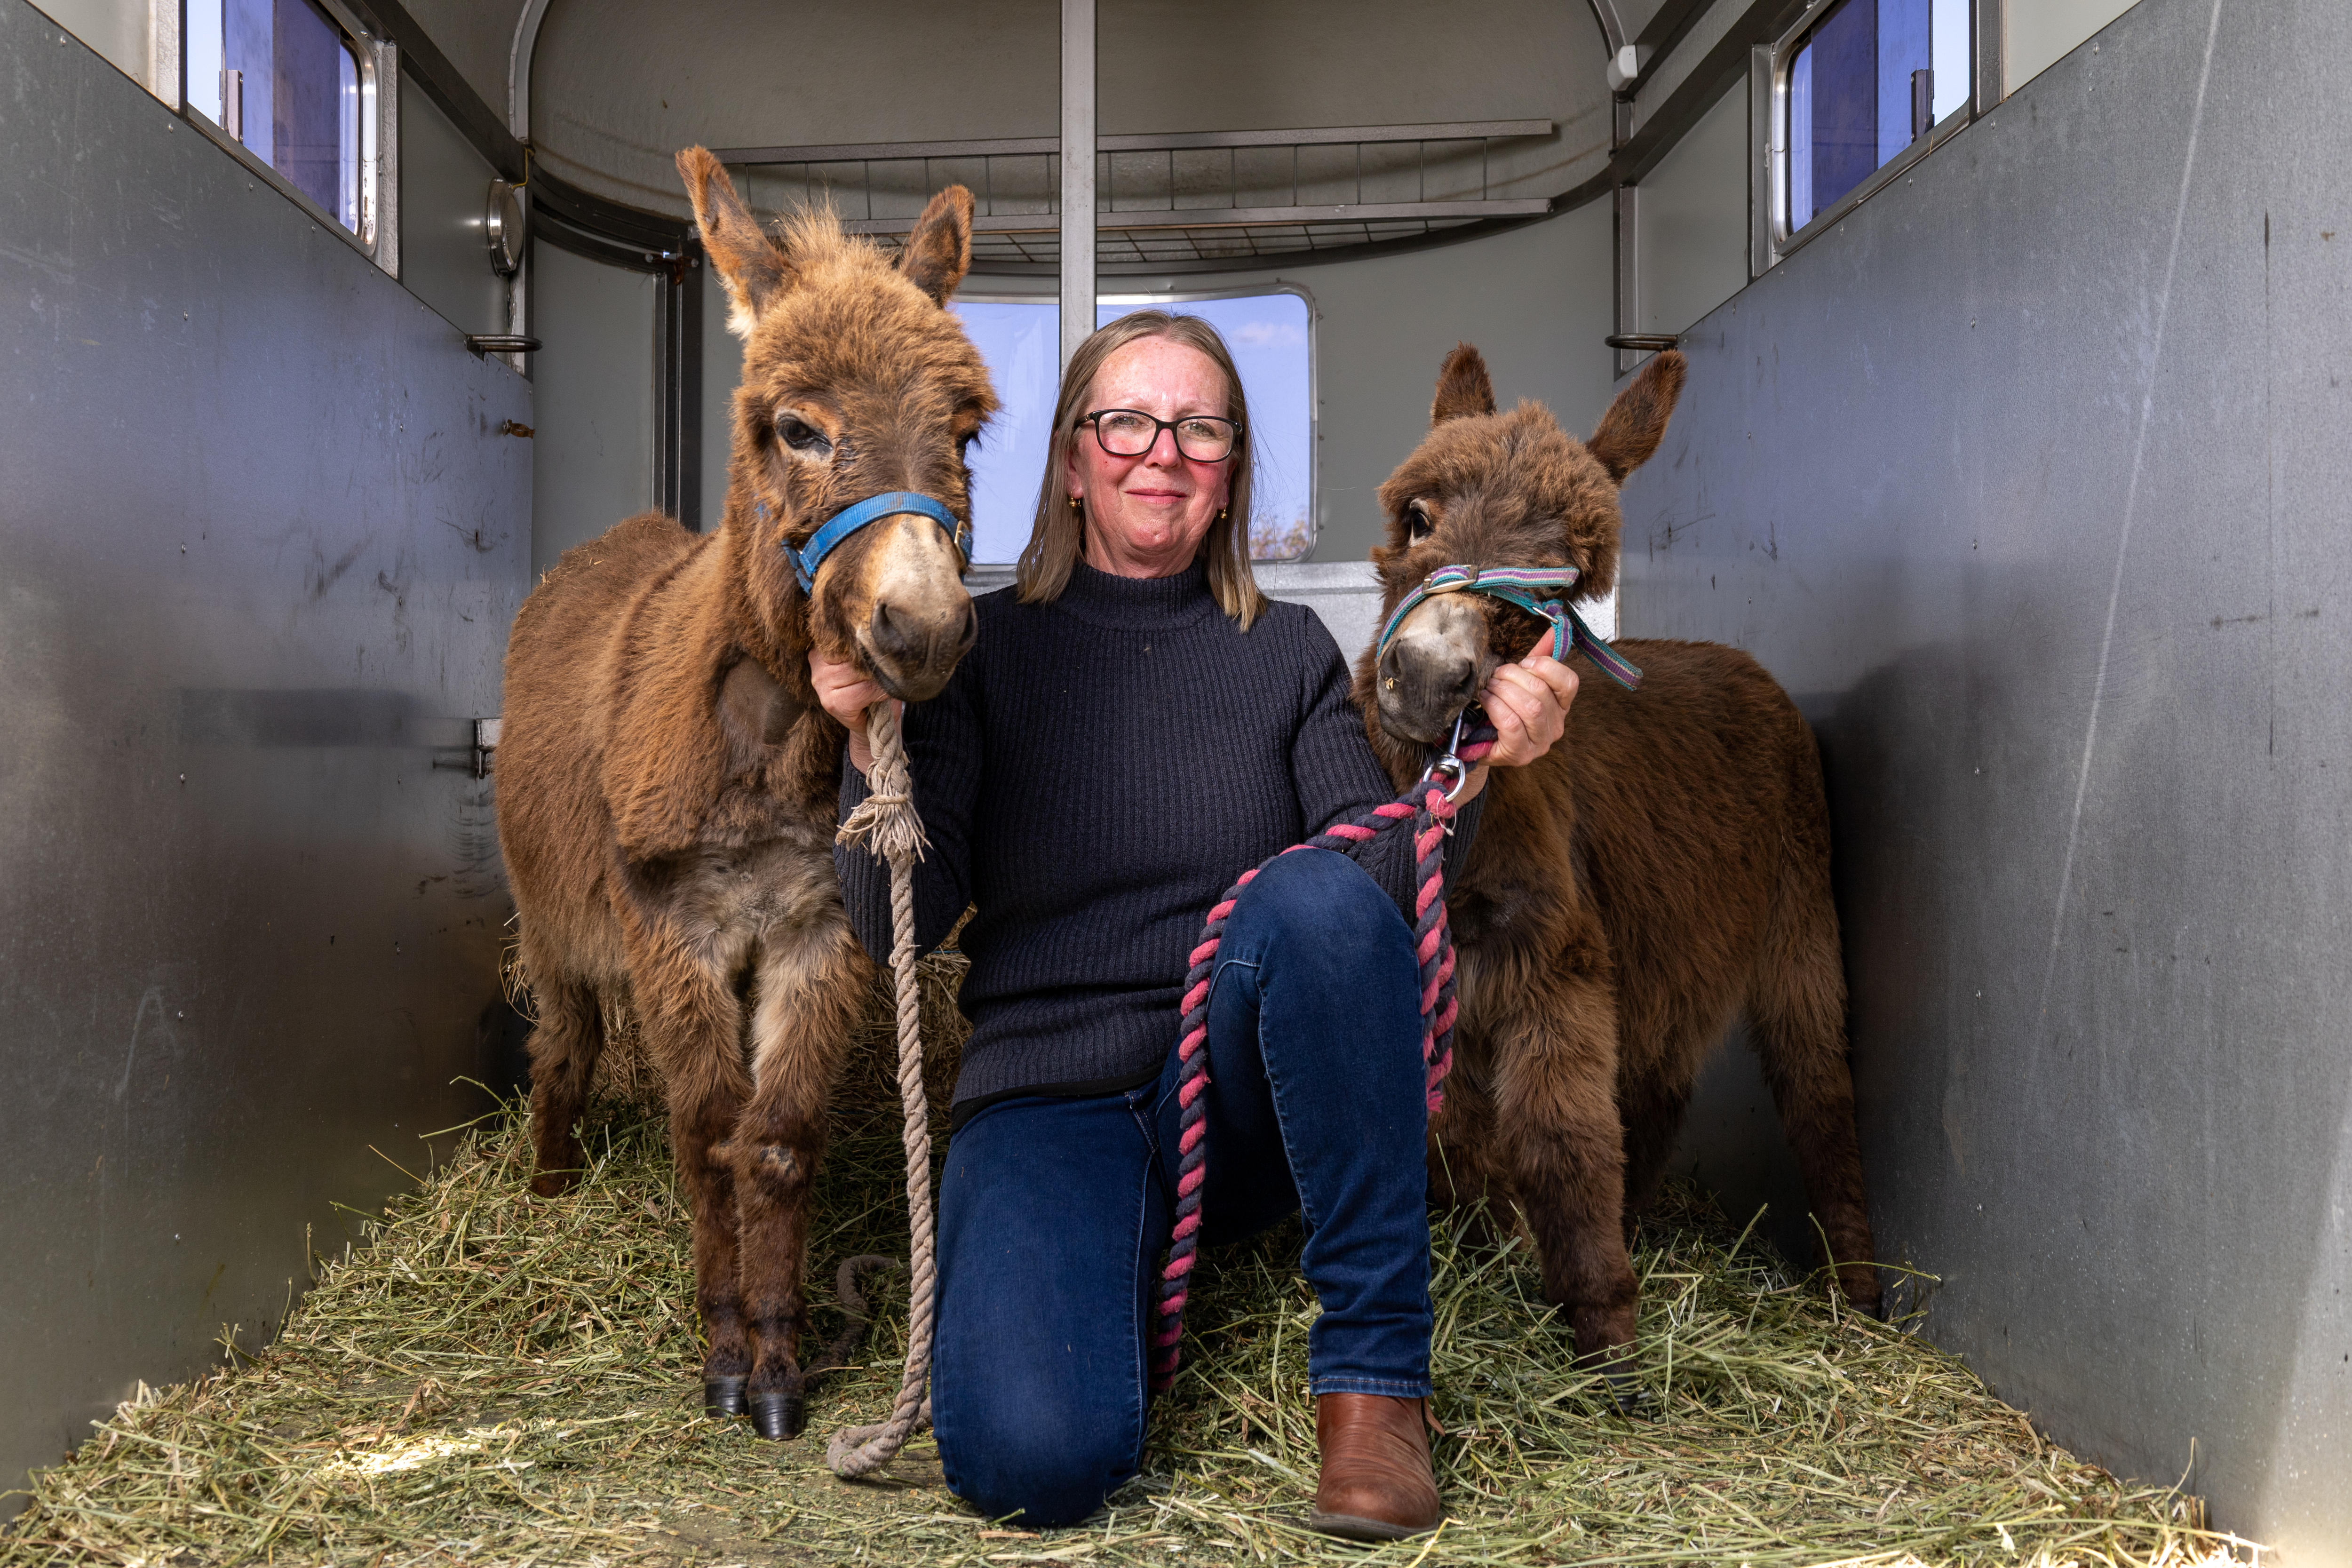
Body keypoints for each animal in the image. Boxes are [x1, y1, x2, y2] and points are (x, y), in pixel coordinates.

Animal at [495, 148, 996, 1439]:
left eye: (965, 430)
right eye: (796, 429)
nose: (924, 630)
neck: (766, 741)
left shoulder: (819, 931)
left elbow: (774, 1141)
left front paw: (776, 1359)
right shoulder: (675, 926)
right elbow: (707, 1133)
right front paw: (721, 1352)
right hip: (553, 918)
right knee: (564, 1042)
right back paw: (549, 1184)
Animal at [1355, 345, 1880, 1379]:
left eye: (1557, 585)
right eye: (1417, 517)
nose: (1430, 678)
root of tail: (1745, 663)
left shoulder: (1554, 967)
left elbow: (1564, 1137)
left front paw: (1607, 1339)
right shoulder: (1444, 982)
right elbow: (1453, 1138)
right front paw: (1489, 1254)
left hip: (1798, 928)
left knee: (1818, 1090)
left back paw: (1860, 1297)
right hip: (1669, 952)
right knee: (1660, 1086)